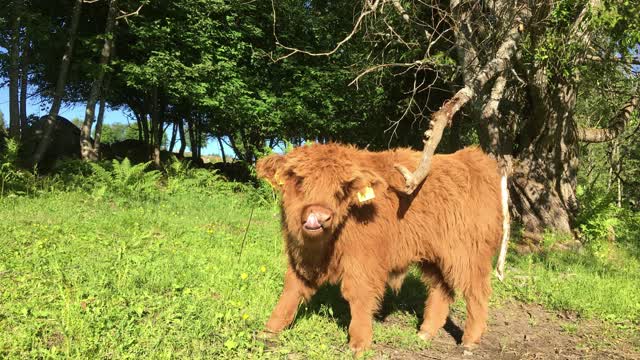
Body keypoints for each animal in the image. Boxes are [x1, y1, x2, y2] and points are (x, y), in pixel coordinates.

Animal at [258, 142, 508, 352]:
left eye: (342, 188)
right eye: (299, 180)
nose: (318, 216)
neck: (321, 247)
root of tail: (473, 158)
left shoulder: (363, 262)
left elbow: (358, 296)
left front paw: (359, 343)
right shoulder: (300, 258)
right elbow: (291, 290)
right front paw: (269, 330)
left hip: (469, 254)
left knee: (476, 291)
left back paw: (470, 341)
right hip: (434, 257)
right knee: (441, 289)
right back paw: (426, 333)